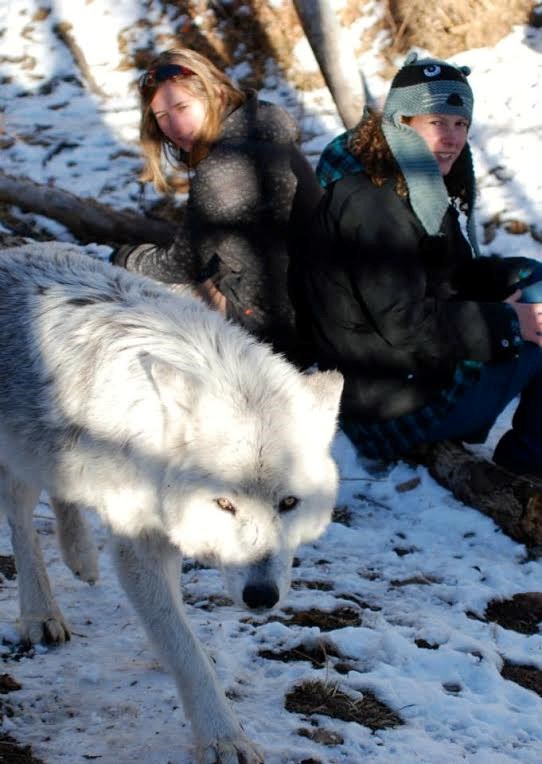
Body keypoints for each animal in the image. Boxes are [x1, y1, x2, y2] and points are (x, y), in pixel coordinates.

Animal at [0, 243, 343, 764]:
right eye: (224, 503)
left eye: (288, 502)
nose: (261, 597)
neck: (153, 446)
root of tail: (17, 250)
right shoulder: (138, 542)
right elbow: (183, 646)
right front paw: (223, 737)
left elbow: (175, 621)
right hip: (20, 455)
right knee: (20, 522)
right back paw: (41, 615)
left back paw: (81, 557)